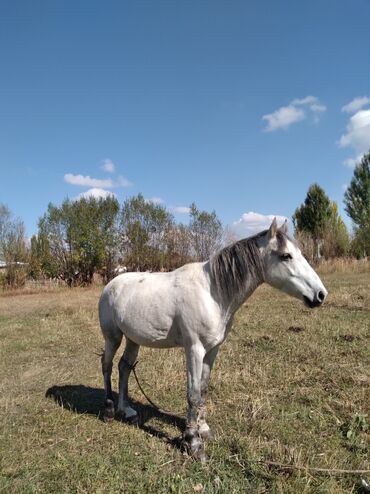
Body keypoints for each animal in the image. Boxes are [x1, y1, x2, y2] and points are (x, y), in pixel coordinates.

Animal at [99, 218, 326, 462]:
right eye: (286, 256)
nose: (320, 295)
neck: (212, 293)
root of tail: (111, 284)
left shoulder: (212, 350)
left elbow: (203, 390)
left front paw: (203, 429)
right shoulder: (194, 349)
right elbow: (192, 394)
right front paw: (193, 442)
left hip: (133, 339)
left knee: (124, 367)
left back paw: (126, 410)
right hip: (113, 337)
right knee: (107, 365)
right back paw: (109, 410)